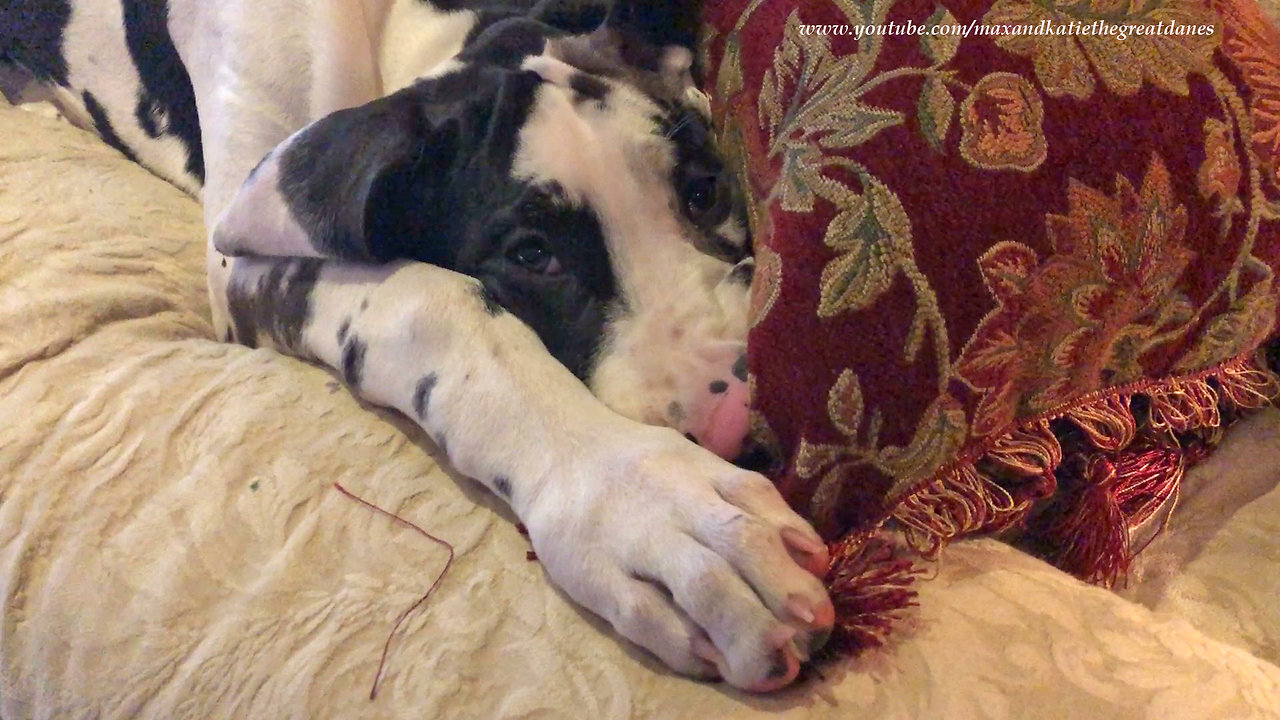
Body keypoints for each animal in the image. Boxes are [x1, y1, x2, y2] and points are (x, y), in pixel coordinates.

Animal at [0, 0, 834, 686]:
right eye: (532, 255)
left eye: (705, 188)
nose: (735, 428)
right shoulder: (244, 258)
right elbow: (429, 299)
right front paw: (645, 502)